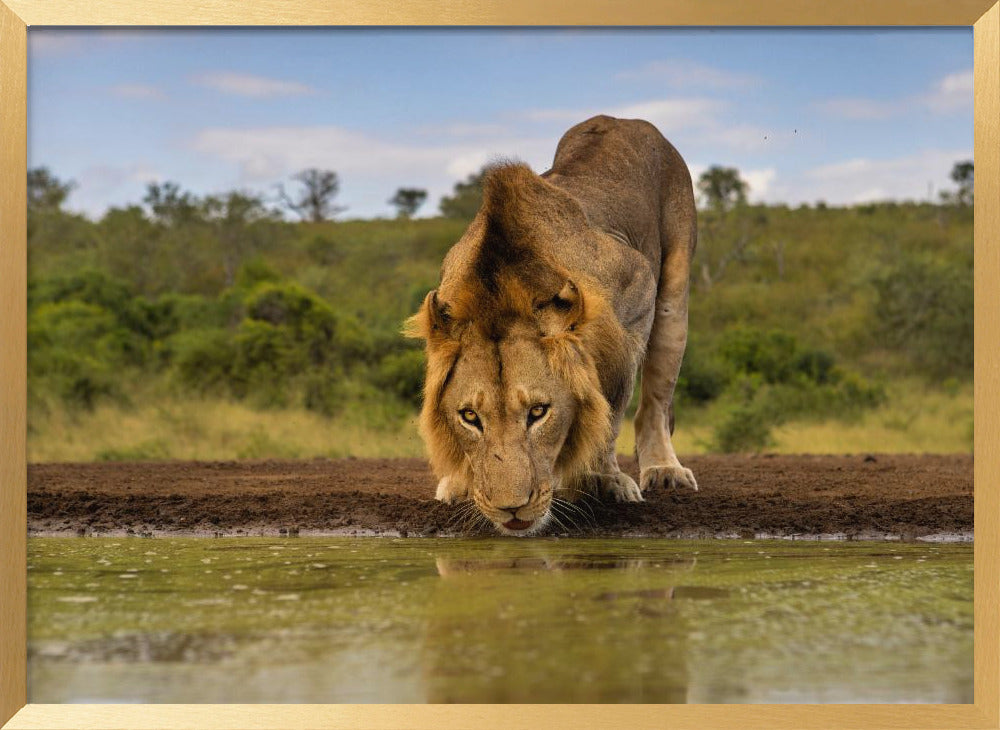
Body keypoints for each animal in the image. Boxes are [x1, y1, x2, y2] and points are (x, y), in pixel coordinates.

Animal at [406, 115, 698, 535]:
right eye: (470, 417)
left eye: (539, 412)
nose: (511, 510)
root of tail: (623, 119)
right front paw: (460, 482)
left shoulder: (637, 290)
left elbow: (611, 408)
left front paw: (603, 479)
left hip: (674, 291)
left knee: (655, 402)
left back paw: (664, 469)